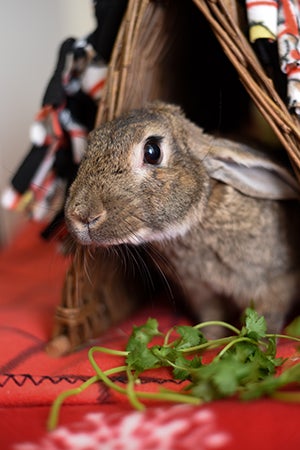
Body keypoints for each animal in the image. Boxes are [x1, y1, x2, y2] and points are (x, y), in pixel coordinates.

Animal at [64, 101, 300, 334]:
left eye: (152, 151)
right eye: (89, 145)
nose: (81, 215)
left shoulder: (275, 284)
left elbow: (268, 319)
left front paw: (259, 343)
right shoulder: (201, 292)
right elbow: (212, 320)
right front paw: (208, 341)